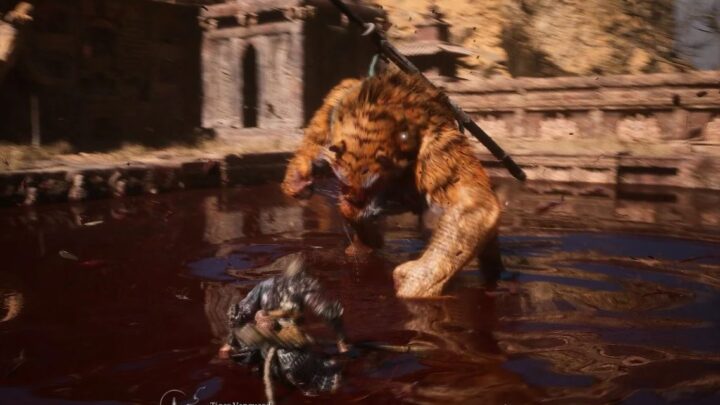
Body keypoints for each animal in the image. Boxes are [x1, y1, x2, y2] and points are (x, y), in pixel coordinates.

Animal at [282, 68, 505, 298]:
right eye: (345, 185)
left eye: (374, 185)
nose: (355, 201)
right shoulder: (335, 105)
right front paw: (299, 179)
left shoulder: (436, 147)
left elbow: (473, 203)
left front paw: (414, 284)